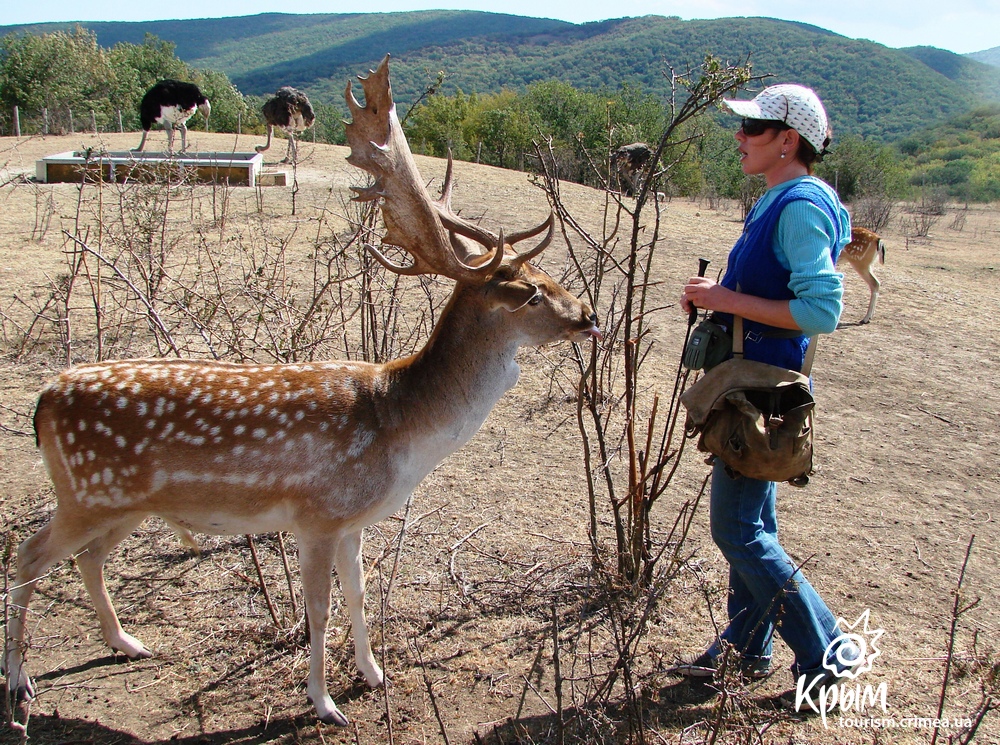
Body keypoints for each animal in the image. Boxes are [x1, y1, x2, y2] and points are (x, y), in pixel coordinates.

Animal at [3, 56, 596, 728]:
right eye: (531, 292)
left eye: (548, 275)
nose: (589, 315)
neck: (399, 429)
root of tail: (43, 399)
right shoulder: (316, 514)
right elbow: (318, 609)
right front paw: (324, 703)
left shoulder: (353, 520)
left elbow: (359, 595)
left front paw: (373, 674)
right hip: (86, 493)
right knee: (26, 557)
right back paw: (20, 681)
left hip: (120, 502)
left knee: (86, 558)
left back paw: (126, 641)